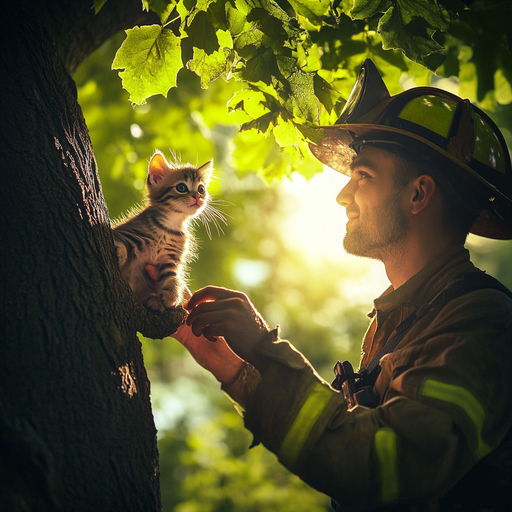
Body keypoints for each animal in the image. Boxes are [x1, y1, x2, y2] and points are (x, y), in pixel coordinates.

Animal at [113, 150, 213, 312]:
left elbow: (172, 275)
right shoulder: (128, 232)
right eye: (181, 188)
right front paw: (119, 253)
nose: (198, 196)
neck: (169, 225)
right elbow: (120, 241)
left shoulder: (171, 257)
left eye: (201, 189)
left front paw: (172, 294)